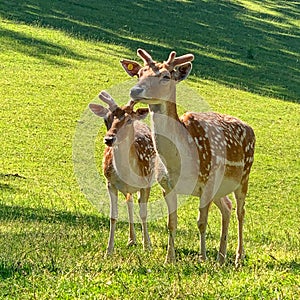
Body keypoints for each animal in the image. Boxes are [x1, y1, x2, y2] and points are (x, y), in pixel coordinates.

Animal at [88, 90, 157, 254]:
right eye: (106, 119)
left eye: (128, 120)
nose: (109, 139)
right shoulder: (110, 183)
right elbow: (113, 216)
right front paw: (109, 250)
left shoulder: (146, 183)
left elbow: (144, 213)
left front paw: (147, 246)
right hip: (126, 188)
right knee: (129, 202)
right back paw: (131, 239)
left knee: (138, 203)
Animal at [120, 48, 254, 264]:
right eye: (139, 73)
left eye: (166, 76)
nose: (135, 91)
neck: (178, 162)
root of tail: (250, 128)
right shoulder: (166, 185)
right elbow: (171, 223)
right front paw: (169, 259)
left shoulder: (207, 181)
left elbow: (202, 222)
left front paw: (202, 258)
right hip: (220, 188)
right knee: (227, 206)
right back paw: (221, 258)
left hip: (244, 176)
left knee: (241, 211)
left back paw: (237, 257)